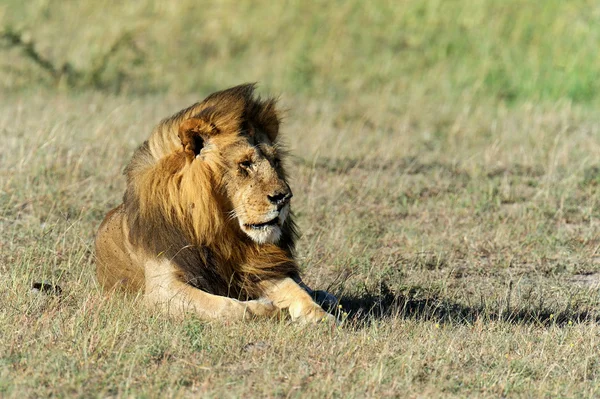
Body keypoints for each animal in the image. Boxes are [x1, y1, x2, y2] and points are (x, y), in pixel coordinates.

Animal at [96, 84, 336, 324]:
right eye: (245, 164)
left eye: (275, 162)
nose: (284, 197)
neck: (221, 230)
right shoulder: (161, 290)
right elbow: (227, 306)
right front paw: (268, 309)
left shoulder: (258, 268)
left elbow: (296, 290)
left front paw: (321, 317)